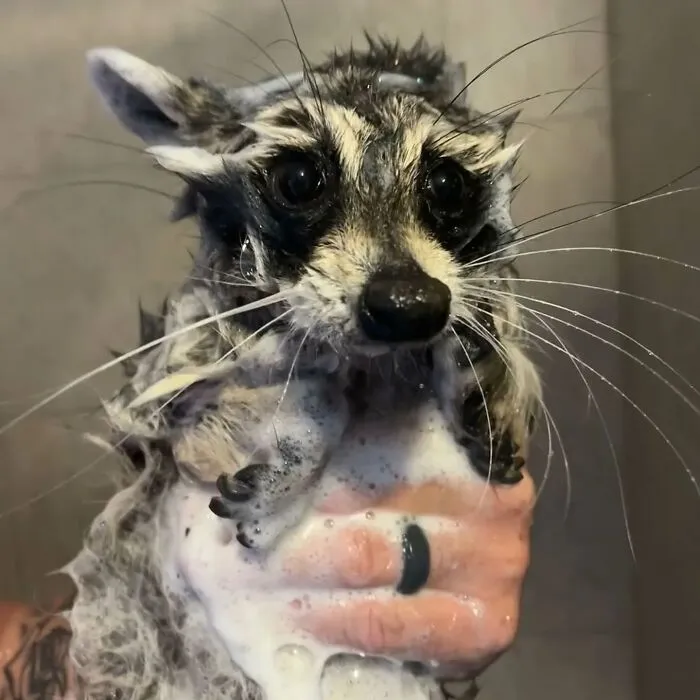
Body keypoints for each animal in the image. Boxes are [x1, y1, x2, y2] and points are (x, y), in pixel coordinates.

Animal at [90, 36, 542, 550]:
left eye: (447, 185)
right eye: (298, 181)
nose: (407, 305)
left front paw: (484, 368)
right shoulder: (179, 368)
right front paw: (293, 463)